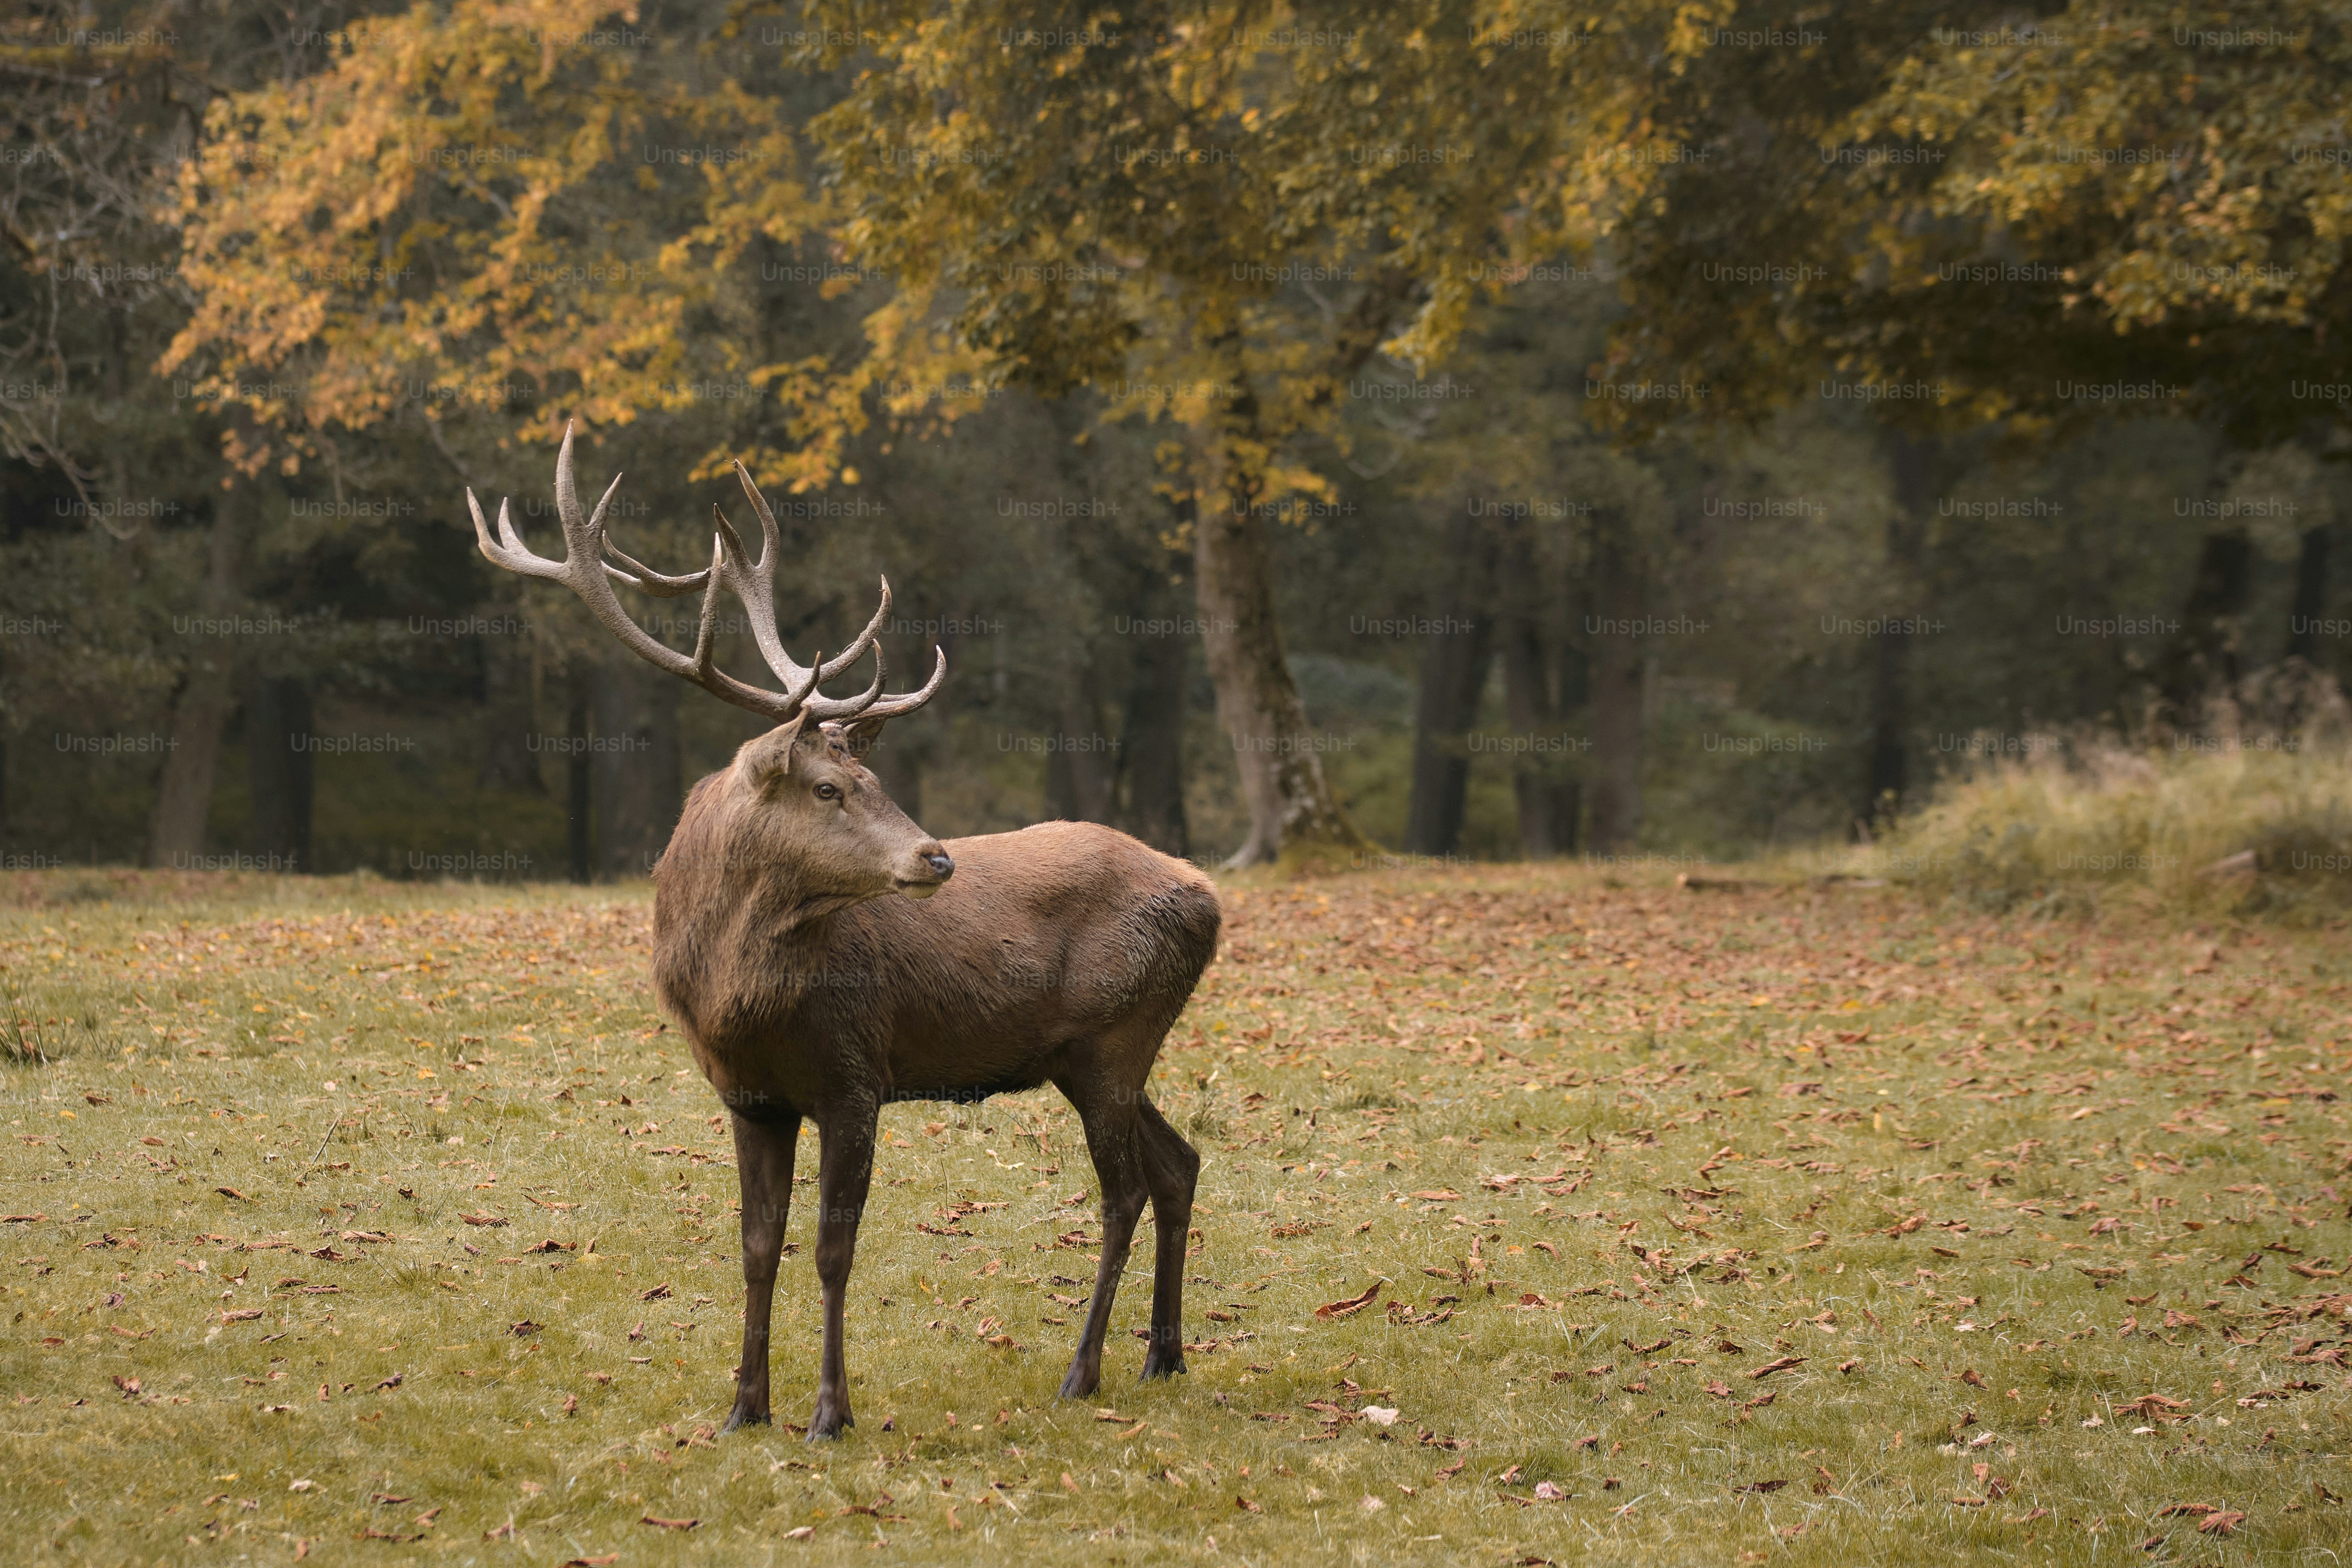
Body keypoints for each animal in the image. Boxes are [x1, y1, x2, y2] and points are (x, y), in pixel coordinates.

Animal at [468, 426, 1220, 1439]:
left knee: (1124, 1186)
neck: (735, 999)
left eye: (873, 781)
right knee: (1178, 1162)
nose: (936, 857)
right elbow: (756, 1245)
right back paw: (1163, 1354)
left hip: (1115, 1035)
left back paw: (1083, 1369)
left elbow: (832, 1249)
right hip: (1087, 1053)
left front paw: (830, 1410)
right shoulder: (749, 1096)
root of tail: (1209, 900)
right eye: (829, 787)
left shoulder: (856, 1072)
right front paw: (743, 1406)